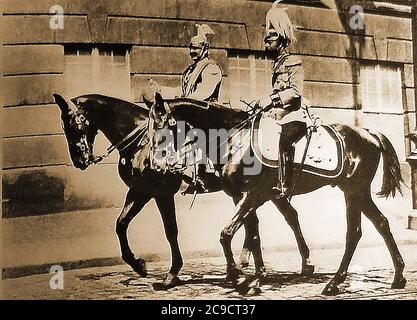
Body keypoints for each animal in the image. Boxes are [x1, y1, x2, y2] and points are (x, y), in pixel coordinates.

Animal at [52, 93, 312, 290]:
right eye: (64, 127)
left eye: (76, 124)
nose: (80, 161)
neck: (139, 143)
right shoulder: (139, 191)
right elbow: (121, 224)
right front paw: (138, 264)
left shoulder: (160, 192)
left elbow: (171, 231)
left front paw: (172, 273)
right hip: (262, 192)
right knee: (279, 218)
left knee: (277, 219)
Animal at [150, 92, 406, 296]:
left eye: (161, 126)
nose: (155, 165)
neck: (236, 139)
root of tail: (369, 133)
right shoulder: (242, 196)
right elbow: (253, 236)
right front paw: (254, 278)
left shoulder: (252, 195)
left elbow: (227, 234)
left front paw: (237, 276)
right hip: (356, 192)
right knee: (379, 224)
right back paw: (397, 276)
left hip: (354, 191)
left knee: (354, 232)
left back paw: (334, 283)